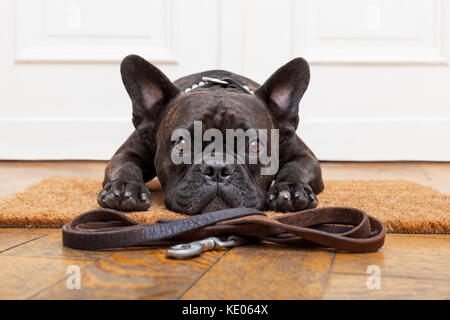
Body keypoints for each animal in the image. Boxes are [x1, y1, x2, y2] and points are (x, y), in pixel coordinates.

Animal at [98, 54, 324, 215]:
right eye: (181, 144)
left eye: (254, 146)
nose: (217, 169)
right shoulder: (127, 153)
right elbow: (125, 165)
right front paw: (125, 187)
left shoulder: (305, 156)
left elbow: (295, 167)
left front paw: (291, 189)